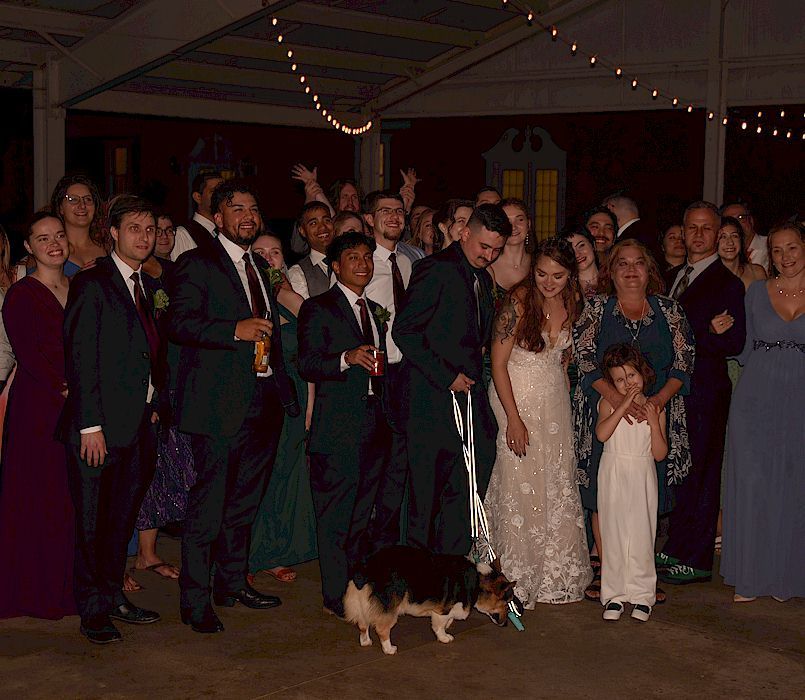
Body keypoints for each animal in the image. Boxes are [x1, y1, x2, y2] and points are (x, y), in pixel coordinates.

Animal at [340, 544, 516, 652]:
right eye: (507, 604)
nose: (506, 624)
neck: (478, 582)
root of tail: (367, 568)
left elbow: (448, 621)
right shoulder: (442, 611)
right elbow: (440, 626)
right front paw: (444, 638)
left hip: (360, 603)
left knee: (363, 625)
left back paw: (365, 642)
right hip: (390, 608)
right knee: (382, 629)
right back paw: (389, 649)